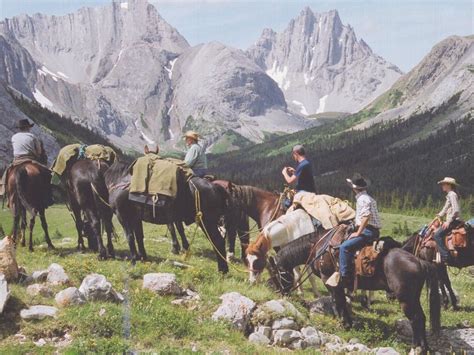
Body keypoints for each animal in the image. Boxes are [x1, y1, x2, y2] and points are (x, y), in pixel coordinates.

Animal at [266, 231, 440, 354]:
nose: (275, 291)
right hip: (414, 297)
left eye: (275, 273)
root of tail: (420, 262)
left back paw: (415, 348)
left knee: (415, 319)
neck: (318, 247)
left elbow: (338, 302)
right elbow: (342, 303)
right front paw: (348, 324)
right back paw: (424, 348)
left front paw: (343, 324)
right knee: (421, 318)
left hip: (405, 299)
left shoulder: (330, 281)